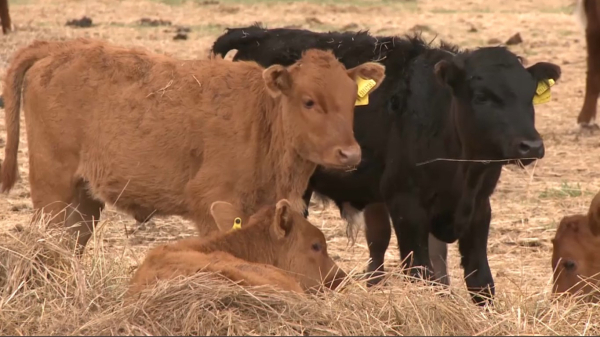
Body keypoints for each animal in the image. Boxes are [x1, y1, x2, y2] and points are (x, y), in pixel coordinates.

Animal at [1, 38, 384, 251]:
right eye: (308, 101)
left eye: (351, 100)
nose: (350, 154)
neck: (264, 117)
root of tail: (60, 49)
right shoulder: (213, 204)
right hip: (53, 192)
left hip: (83, 200)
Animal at [213, 25, 560, 304]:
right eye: (481, 96)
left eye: (530, 96)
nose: (531, 145)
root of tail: (256, 34)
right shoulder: (406, 205)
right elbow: (422, 274)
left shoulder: (478, 208)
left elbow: (480, 282)